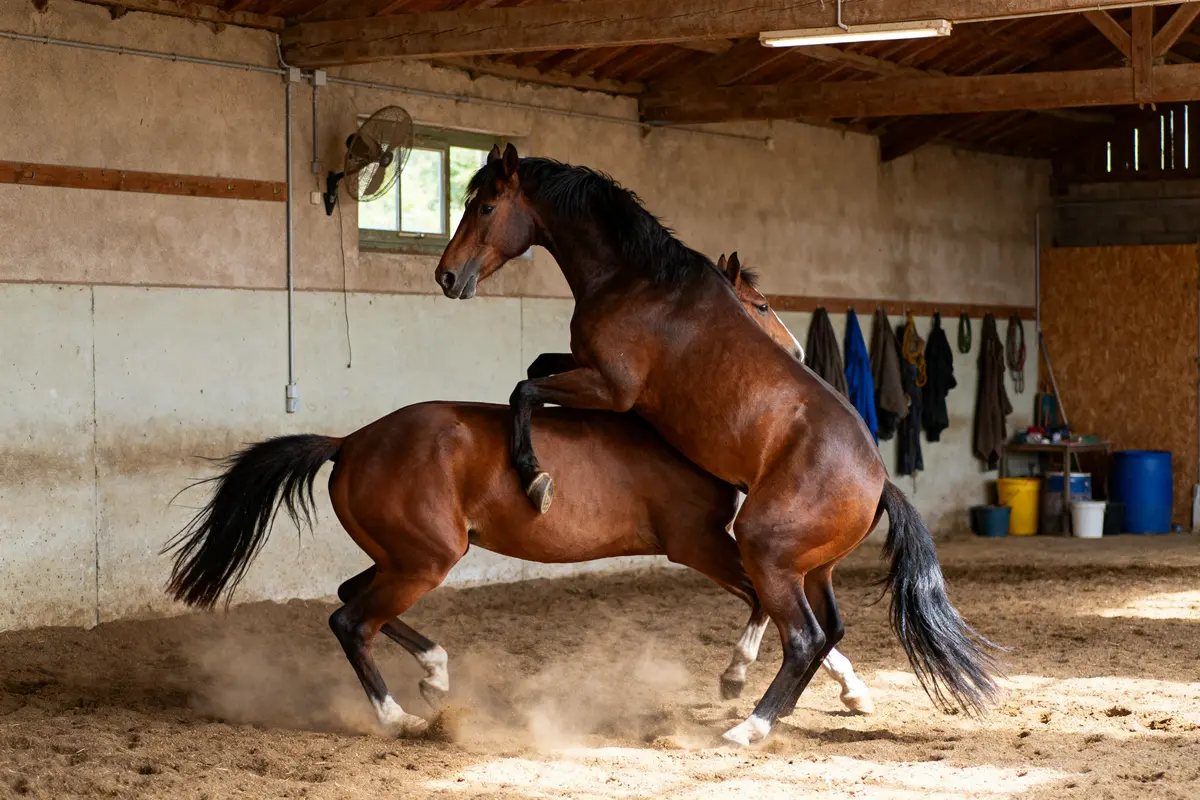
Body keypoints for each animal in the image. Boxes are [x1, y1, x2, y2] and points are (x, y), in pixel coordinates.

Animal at [163, 255, 873, 737]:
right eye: (758, 305)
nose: (799, 353)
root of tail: (353, 440)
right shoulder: (697, 543)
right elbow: (770, 606)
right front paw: (737, 678)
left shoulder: (714, 546)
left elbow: (789, 615)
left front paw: (852, 690)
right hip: (424, 560)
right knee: (349, 620)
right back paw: (399, 719)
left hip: (401, 556)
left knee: (349, 599)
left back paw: (436, 673)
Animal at [434, 144, 1000, 745]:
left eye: (486, 206)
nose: (447, 275)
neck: (637, 281)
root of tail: (880, 484)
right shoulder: (586, 371)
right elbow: (534, 370)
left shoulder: (611, 388)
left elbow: (524, 389)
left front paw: (535, 478)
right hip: (812, 569)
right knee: (828, 630)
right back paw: (779, 704)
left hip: (764, 547)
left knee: (803, 636)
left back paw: (749, 724)